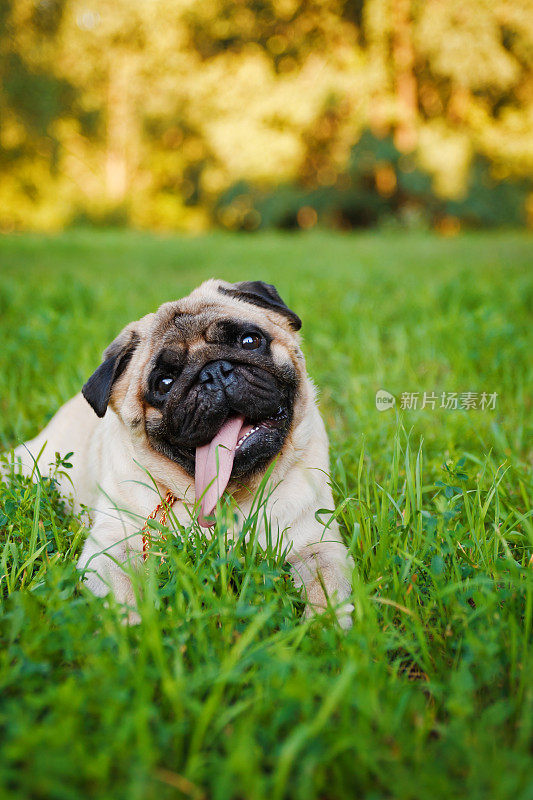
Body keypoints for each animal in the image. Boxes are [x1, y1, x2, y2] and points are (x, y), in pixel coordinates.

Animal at [10, 280, 354, 624]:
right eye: (164, 383)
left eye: (249, 341)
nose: (214, 372)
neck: (227, 498)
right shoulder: (109, 550)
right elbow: (123, 595)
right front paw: (133, 628)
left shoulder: (319, 548)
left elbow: (325, 591)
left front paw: (325, 626)